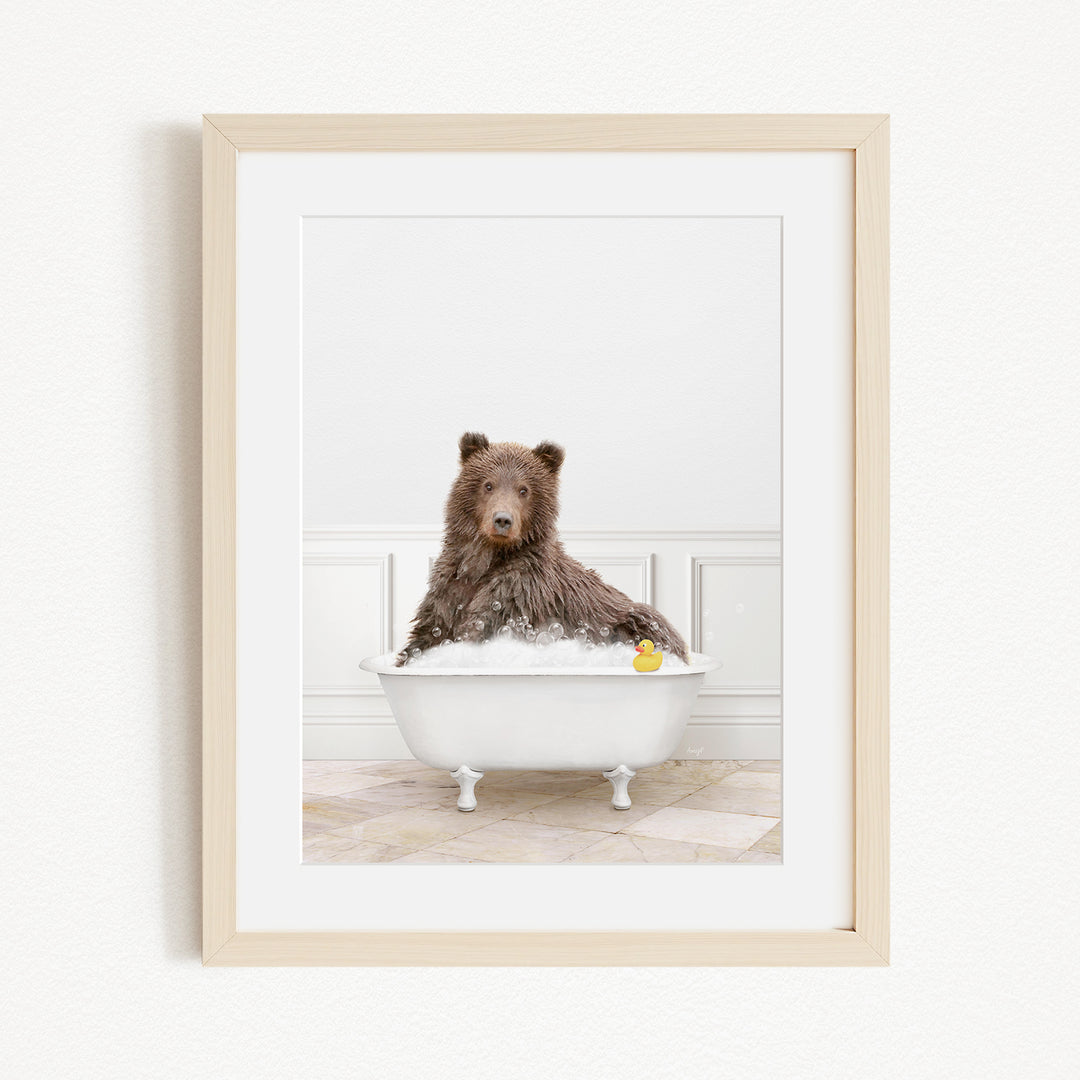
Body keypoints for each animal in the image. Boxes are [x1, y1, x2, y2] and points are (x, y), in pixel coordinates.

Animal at [396, 432, 689, 664]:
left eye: (524, 489)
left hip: (634, 620)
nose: (502, 520)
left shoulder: (519, 593)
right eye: (488, 484)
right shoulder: (449, 590)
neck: (486, 559)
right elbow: (427, 634)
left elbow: (485, 625)